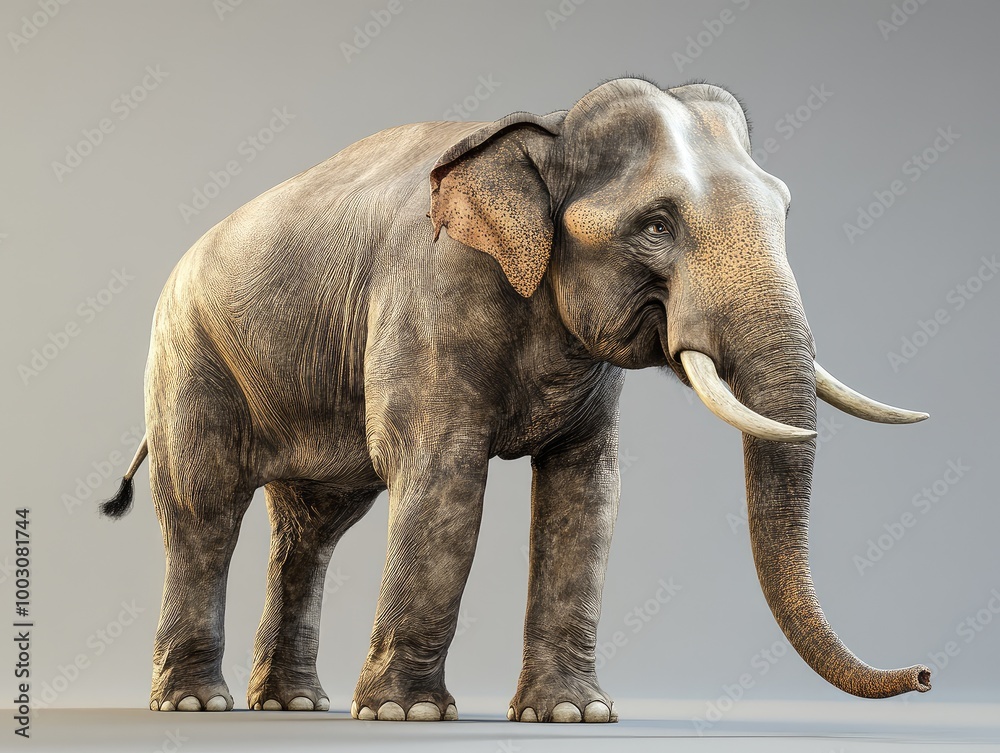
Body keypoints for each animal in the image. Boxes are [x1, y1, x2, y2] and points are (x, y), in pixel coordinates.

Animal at [101, 76, 932, 722]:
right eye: (657, 224)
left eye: (784, 211)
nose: (924, 673)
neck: (547, 129)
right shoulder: (432, 294)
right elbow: (444, 476)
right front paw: (408, 714)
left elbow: (587, 491)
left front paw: (573, 713)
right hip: (190, 356)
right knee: (204, 510)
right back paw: (195, 703)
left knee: (312, 529)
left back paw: (294, 703)